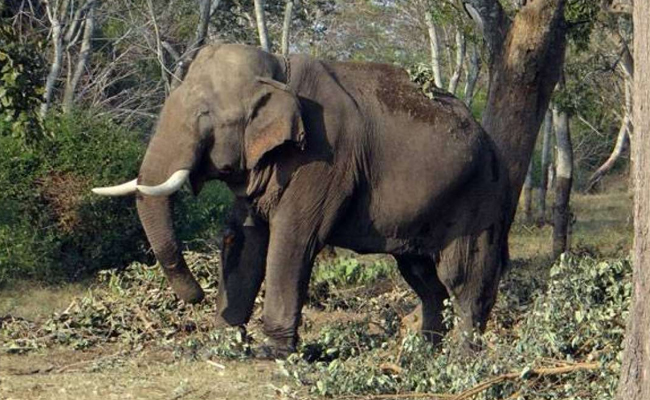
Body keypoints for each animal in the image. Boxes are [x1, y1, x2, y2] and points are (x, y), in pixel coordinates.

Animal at [93, 43, 508, 356]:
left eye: (205, 116)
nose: (195, 297)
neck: (279, 68)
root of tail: (491, 142)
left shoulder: (324, 156)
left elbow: (293, 238)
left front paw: (271, 352)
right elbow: (244, 238)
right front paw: (223, 344)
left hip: (477, 199)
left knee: (462, 276)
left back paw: (461, 356)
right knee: (423, 277)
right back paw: (424, 353)